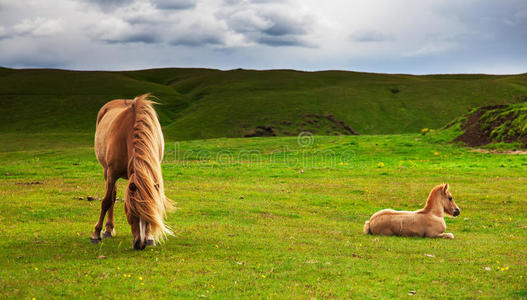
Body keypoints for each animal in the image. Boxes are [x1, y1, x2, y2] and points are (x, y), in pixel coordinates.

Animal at [91, 94, 173, 251]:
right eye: (132, 212)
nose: (140, 244)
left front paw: (150, 237)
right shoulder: (112, 173)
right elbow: (106, 201)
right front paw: (96, 234)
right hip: (106, 172)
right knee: (111, 197)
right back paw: (108, 230)